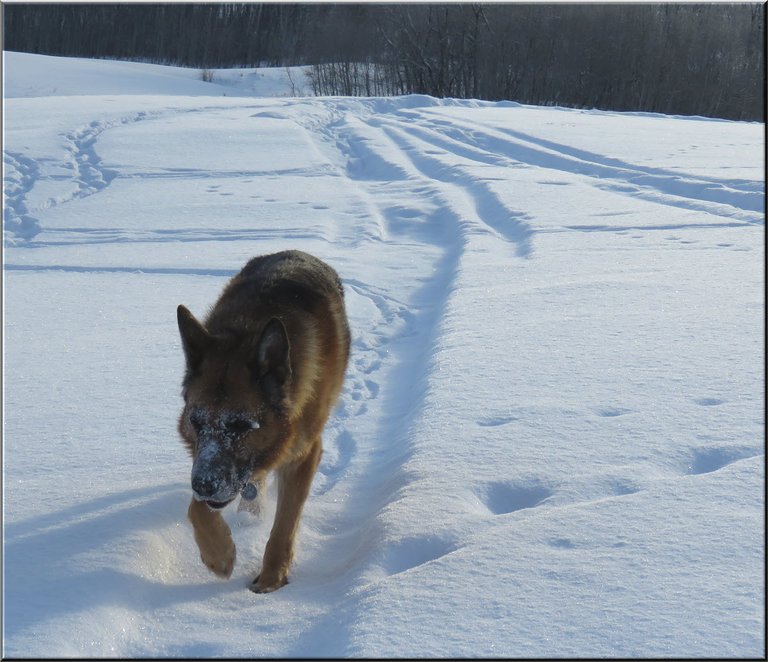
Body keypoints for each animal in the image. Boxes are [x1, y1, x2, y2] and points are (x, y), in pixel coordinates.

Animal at [176, 252, 350, 592]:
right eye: (196, 422)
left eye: (242, 426)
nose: (202, 484)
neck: (249, 329)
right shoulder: (206, 465)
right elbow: (196, 507)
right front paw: (219, 554)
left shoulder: (305, 454)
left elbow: (284, 524)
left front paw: (271, 579)